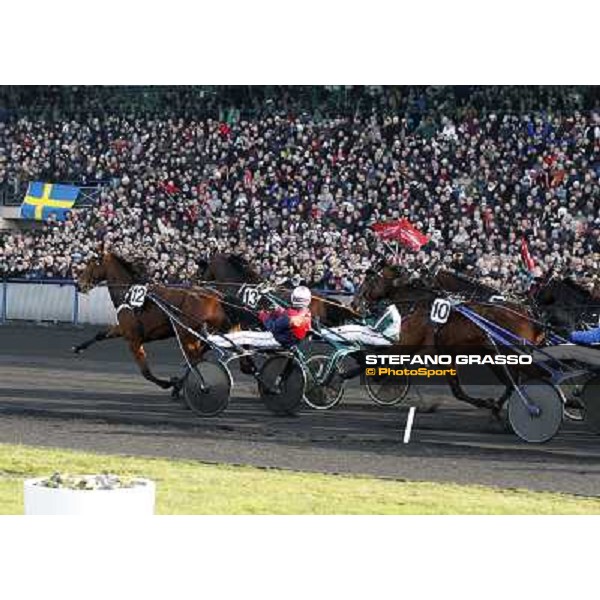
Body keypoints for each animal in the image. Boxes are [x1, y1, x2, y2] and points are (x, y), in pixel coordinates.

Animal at [73, 252, 227, 390]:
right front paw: (78, 348)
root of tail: (216, 296)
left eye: (92, 263)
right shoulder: (123, 329)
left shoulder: (133, 340)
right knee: (199, 356)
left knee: (196, 360)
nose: (79, 284)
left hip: (187, 334)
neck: (128, 294)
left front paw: (168, 383)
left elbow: (146, 372)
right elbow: (100, 335)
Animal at [352, 264, 544, 414]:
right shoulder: (444, 355)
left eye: (368, 279)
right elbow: (457, 389)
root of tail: (526, 312)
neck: (419, 306)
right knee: (513, 382)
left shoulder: (408, 346)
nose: (354, 303)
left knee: (519, 380)